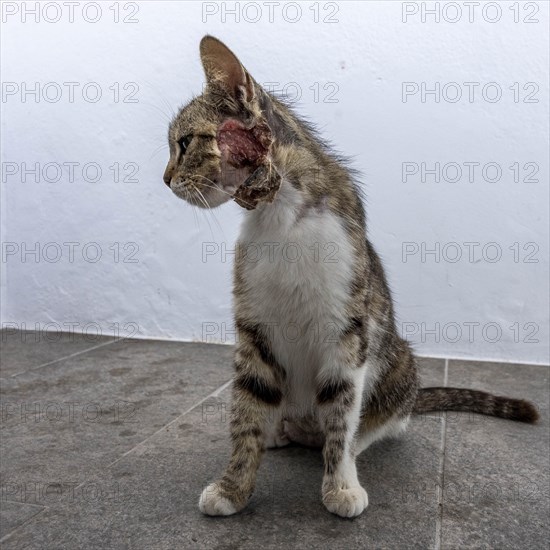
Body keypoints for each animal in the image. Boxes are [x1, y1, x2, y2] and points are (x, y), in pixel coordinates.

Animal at [163, 36, 540, 520]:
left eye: (184, 142)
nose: (166, 178)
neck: (280, 217)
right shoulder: (253, 327)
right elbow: (246, 410)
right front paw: (232, 487)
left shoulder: (348, 329)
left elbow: (342, 407)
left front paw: (340, 484)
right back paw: (279, 430)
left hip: (399, 360)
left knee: (385, 418)